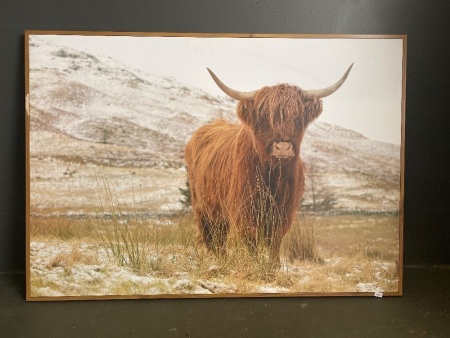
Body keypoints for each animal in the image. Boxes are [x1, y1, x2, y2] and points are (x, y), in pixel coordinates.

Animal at [185, 64, 354, 262]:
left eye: (298, 118)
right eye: (264, 119)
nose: (283, 147)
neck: (273, 178)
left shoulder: (283, 212)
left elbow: (274, 243)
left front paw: (273, 265)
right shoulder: (245, 210)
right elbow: (251, 242)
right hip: (203, 206)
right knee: (212, 237)